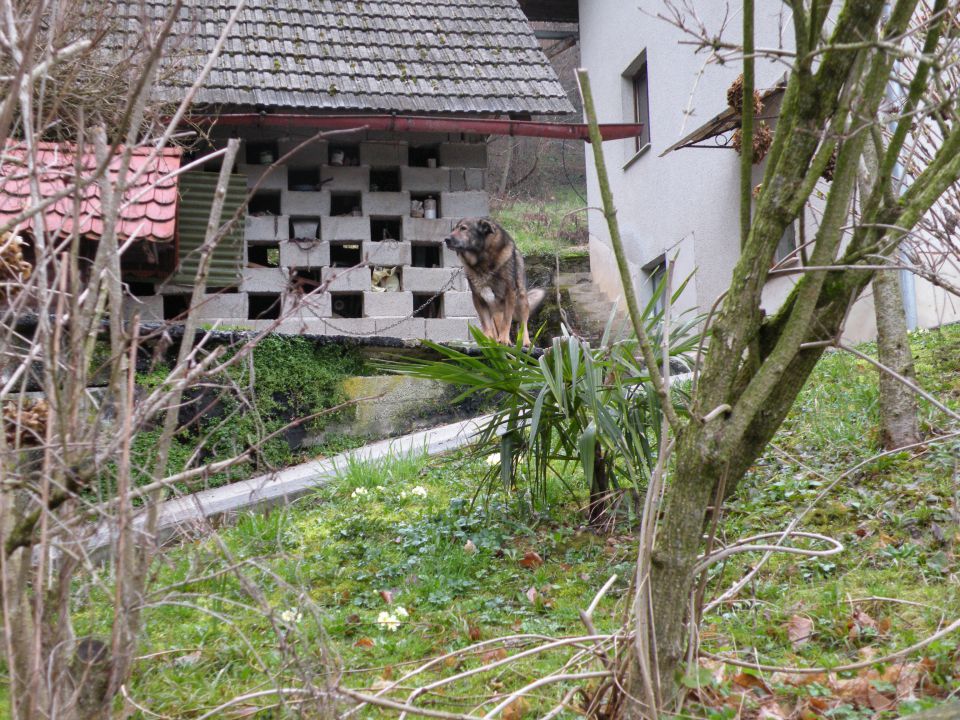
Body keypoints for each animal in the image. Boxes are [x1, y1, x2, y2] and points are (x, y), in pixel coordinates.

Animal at [444, 218, 544, 348]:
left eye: (463, 228)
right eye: (453, 229)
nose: (446, 239)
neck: (482, 260)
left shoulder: (510, 294)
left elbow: (507, 321)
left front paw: (504, 340)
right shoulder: (478, 298)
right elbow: (486, 324)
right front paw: (486, 341)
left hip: (521, 299)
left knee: (523, 324)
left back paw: (525, 342)